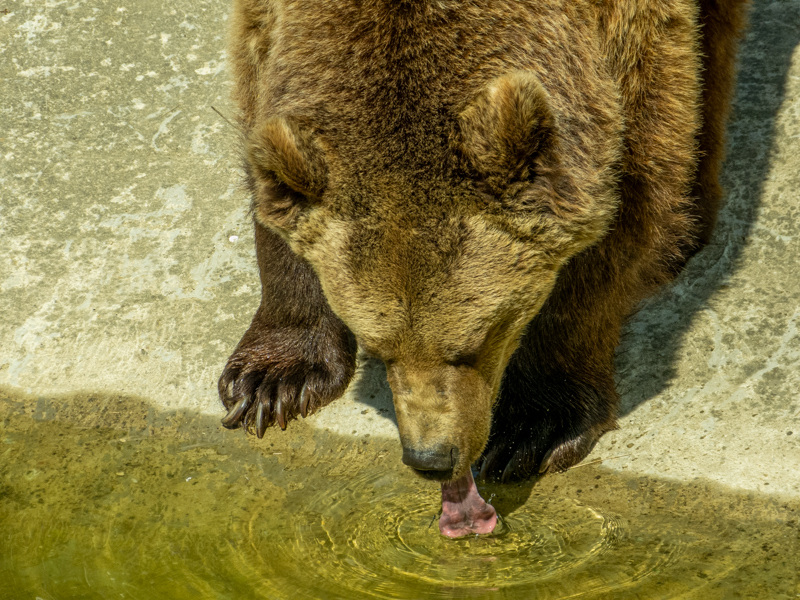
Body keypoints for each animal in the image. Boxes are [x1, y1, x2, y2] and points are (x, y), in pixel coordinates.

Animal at [217, 0, 749, 537]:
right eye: (381, 349)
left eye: (482, 338)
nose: (432, 458)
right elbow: (259, 101)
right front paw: (272, 380)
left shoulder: (624, 37)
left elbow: (635, 155)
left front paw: (536, 423)